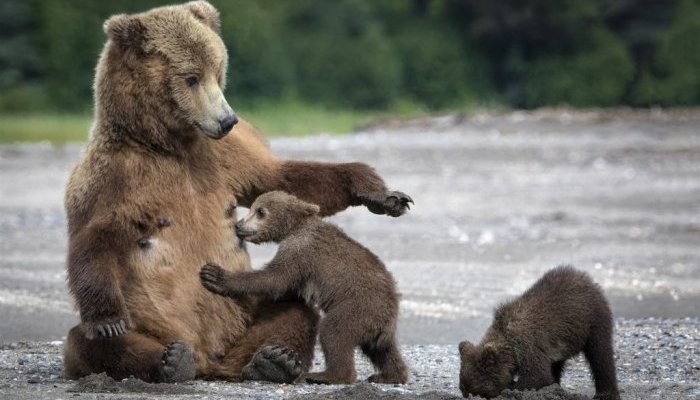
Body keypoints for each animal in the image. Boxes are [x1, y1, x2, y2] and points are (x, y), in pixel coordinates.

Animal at [199, 191, 409, 385]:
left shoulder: (299, 251)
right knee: (383, 351)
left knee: (333, 333)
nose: (239, 225)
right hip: (377, 325)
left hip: (357, 307)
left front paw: (214, 275)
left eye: (260, 211)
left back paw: (325, 375)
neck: (294, 228)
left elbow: (274, 279)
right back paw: (388, 376)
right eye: (252, 208)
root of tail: (389, 315)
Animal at [458, 266, 619, 400]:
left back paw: (605, 393)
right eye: (464, 390)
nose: (467, 394)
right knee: (557, 364)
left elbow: (537, 375)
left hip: (592, 319)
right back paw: (556, 386)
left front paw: (511, 387)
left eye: (476, 392)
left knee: (600, 354)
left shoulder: (527, 343)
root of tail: (586, 278)